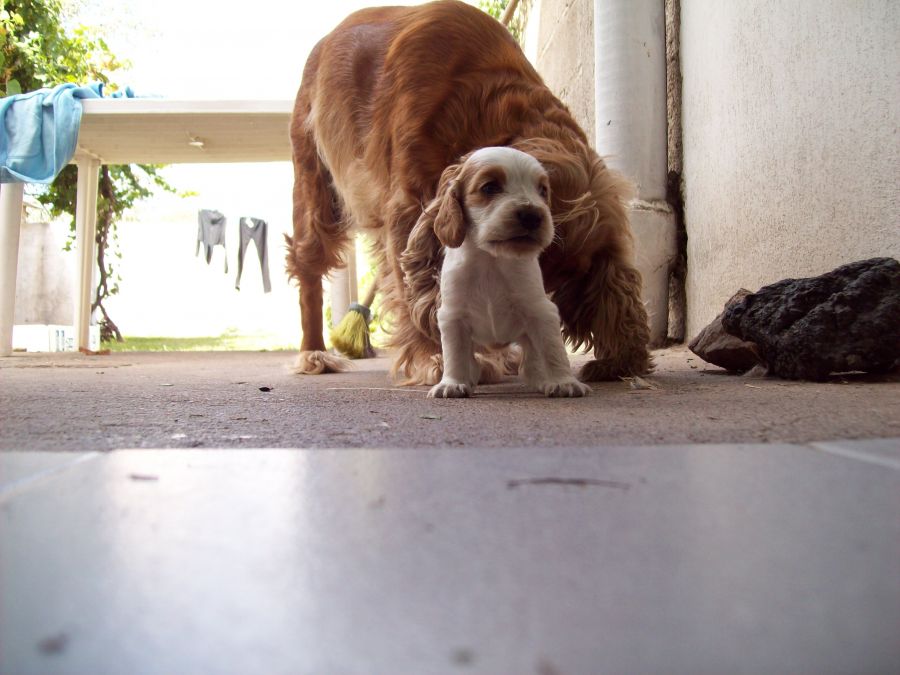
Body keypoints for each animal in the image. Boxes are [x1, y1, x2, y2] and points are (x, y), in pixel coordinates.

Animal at [428, 149, 592, 396]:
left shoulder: (542, 312)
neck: (491, 261)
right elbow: (455, 355)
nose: (532, 216)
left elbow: (553, 351)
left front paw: (564, 382)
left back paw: (543, 380)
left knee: (531, 365)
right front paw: (452, 383)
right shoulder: (453, 316)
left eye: (543, 190)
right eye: (489, 187)